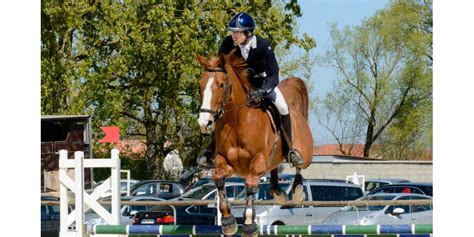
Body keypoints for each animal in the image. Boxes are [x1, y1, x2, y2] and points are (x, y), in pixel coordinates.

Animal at [196, 51, 314, 236]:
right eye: (200, 86)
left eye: (221, 85)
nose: (204, 123)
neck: (236, 120)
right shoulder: (224, 162)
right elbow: (218, 178)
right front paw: (228, 222)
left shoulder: (257, 162)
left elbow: (251, 186)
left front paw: (249, 225)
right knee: (274, 170)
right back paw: (279, 193)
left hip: (305, 154)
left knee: (299, 167)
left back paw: (297, 192)